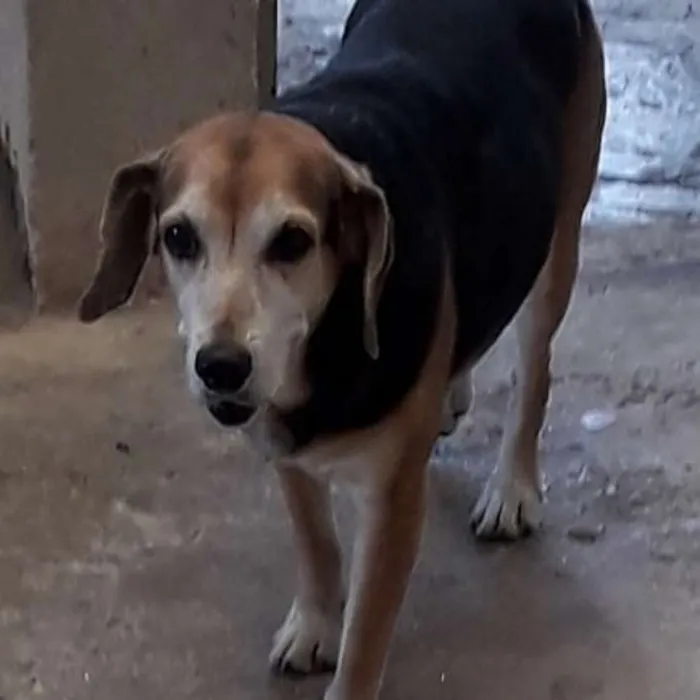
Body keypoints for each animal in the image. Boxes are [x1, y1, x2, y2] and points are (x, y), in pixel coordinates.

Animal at [78, 1, 608, 700]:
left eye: (292, 242)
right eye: (178, 237)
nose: (221, 367)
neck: (322, 348)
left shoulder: (392, 500)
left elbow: (365, 640)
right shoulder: (285, 449)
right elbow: (316, 545)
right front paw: (315, 623)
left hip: (555, 244)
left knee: (535, 372)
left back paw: (512, 486)